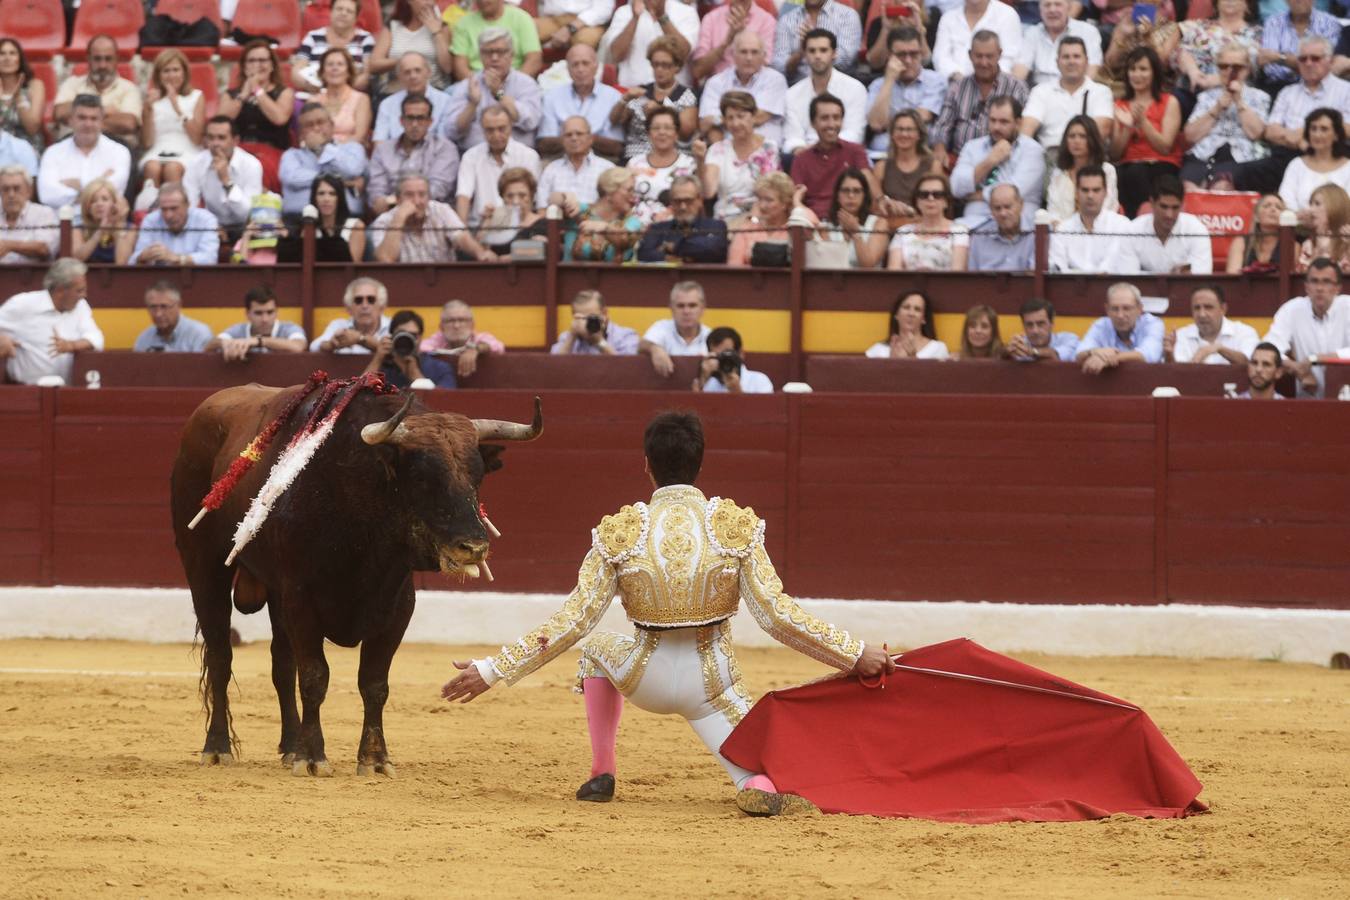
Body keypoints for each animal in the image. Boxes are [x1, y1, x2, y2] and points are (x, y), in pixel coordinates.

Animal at [171, 380, 540, 777]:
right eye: (422, 477)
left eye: (477, 475)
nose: (472, 546)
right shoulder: (302, 599)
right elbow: (314, 676)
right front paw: (312, 758)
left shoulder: (397, 606)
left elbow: (374, 683)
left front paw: (374, 759)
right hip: (204, 567)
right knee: (221, 656)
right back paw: (217, 747)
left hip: (275, 592)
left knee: (281, 665)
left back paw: (289, 746)